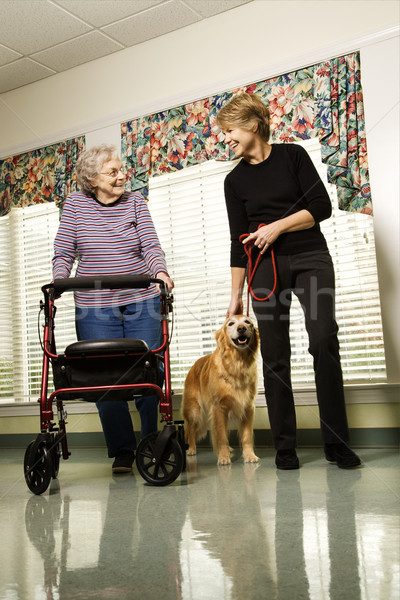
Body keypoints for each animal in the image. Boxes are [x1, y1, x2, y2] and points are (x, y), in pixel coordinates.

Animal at [181, 316, 260, 466]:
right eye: (231, 323)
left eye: (248, 322)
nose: (241, 328)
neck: (237, 363)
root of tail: (193, 365)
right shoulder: (219, 408)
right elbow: (221, 436)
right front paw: (223, 457)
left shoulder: (248, 408)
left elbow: (246, 436)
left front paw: (249, 455)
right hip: (195, 411)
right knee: (192, 430)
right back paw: (192, 449)